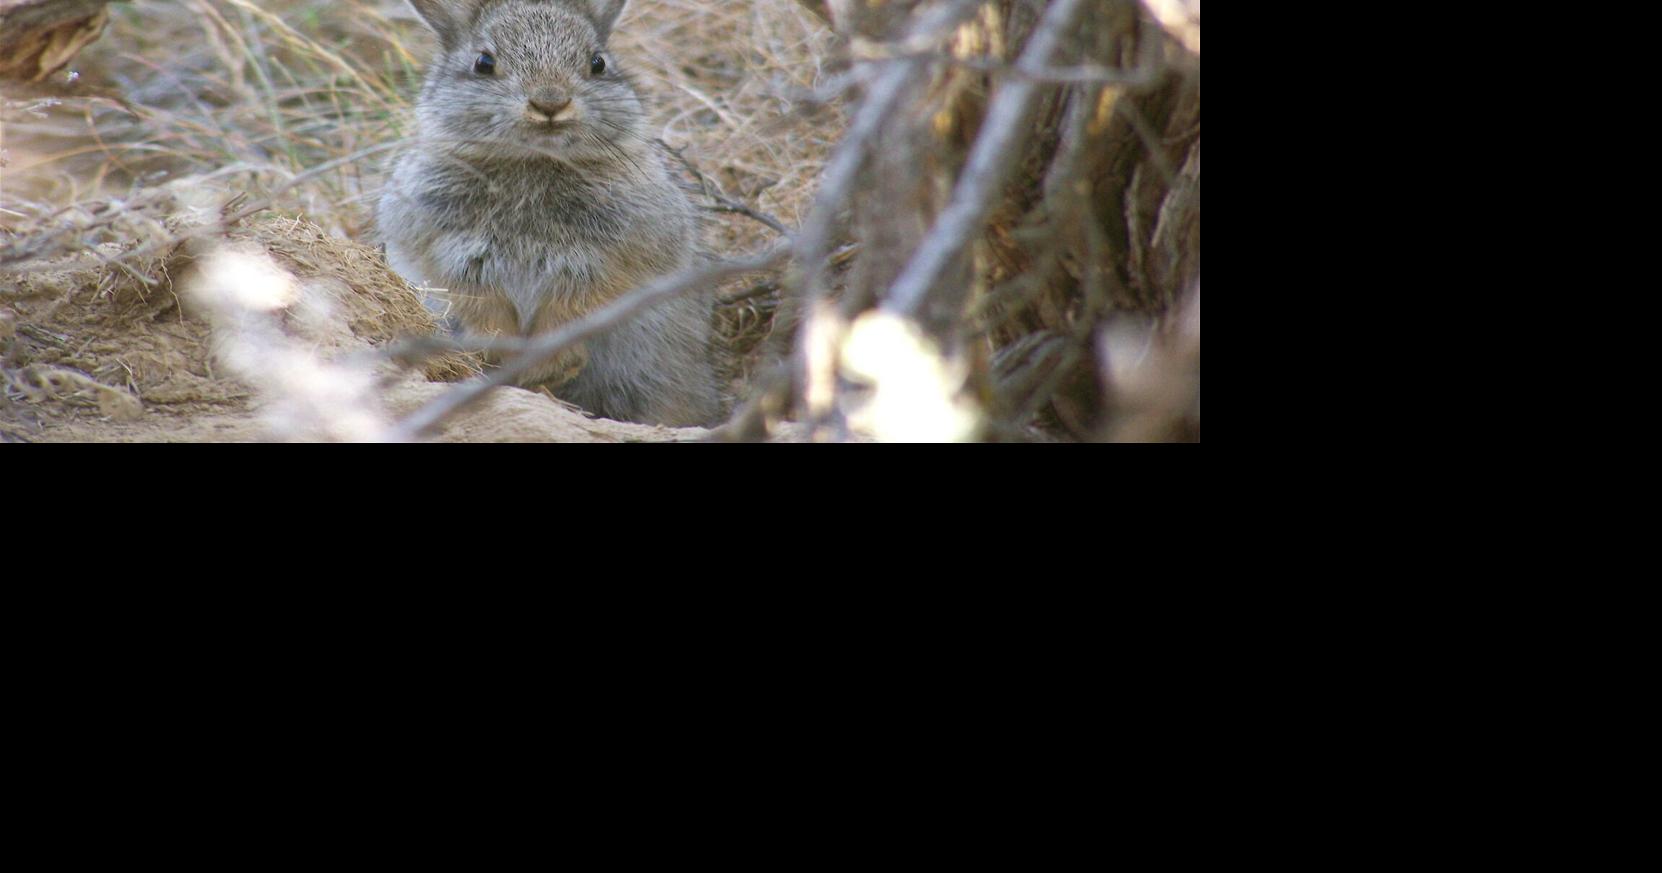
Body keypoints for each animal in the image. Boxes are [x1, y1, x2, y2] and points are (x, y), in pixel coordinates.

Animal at [377, 0, 723, 427]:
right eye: (483, 63)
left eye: (597, 63)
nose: (550, 102)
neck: (534, 160)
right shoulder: (449, 256)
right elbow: (480, 307)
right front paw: (503, 358)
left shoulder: (606, 261)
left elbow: (574, 311)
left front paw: (547, 366)